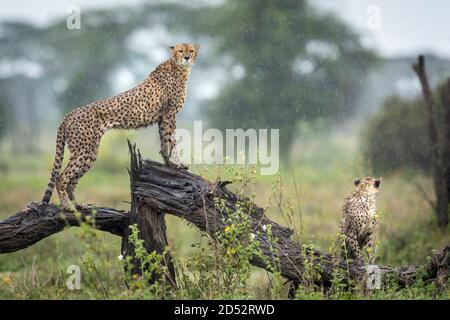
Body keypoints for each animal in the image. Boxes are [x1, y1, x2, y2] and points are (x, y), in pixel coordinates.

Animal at [42, 43, 200, 212]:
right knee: (62, 177)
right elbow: (172, 141)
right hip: (84, 149)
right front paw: (177, 164)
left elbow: (165, 141)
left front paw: (169, 163)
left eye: (191, 50)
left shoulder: (163, 117)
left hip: (90, 152)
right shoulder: (169, 114)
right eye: (180, 51)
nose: (187, 57)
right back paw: (68, 206)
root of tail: (70, 113)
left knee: (72, 181)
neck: (179, 68)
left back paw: (80, 205)